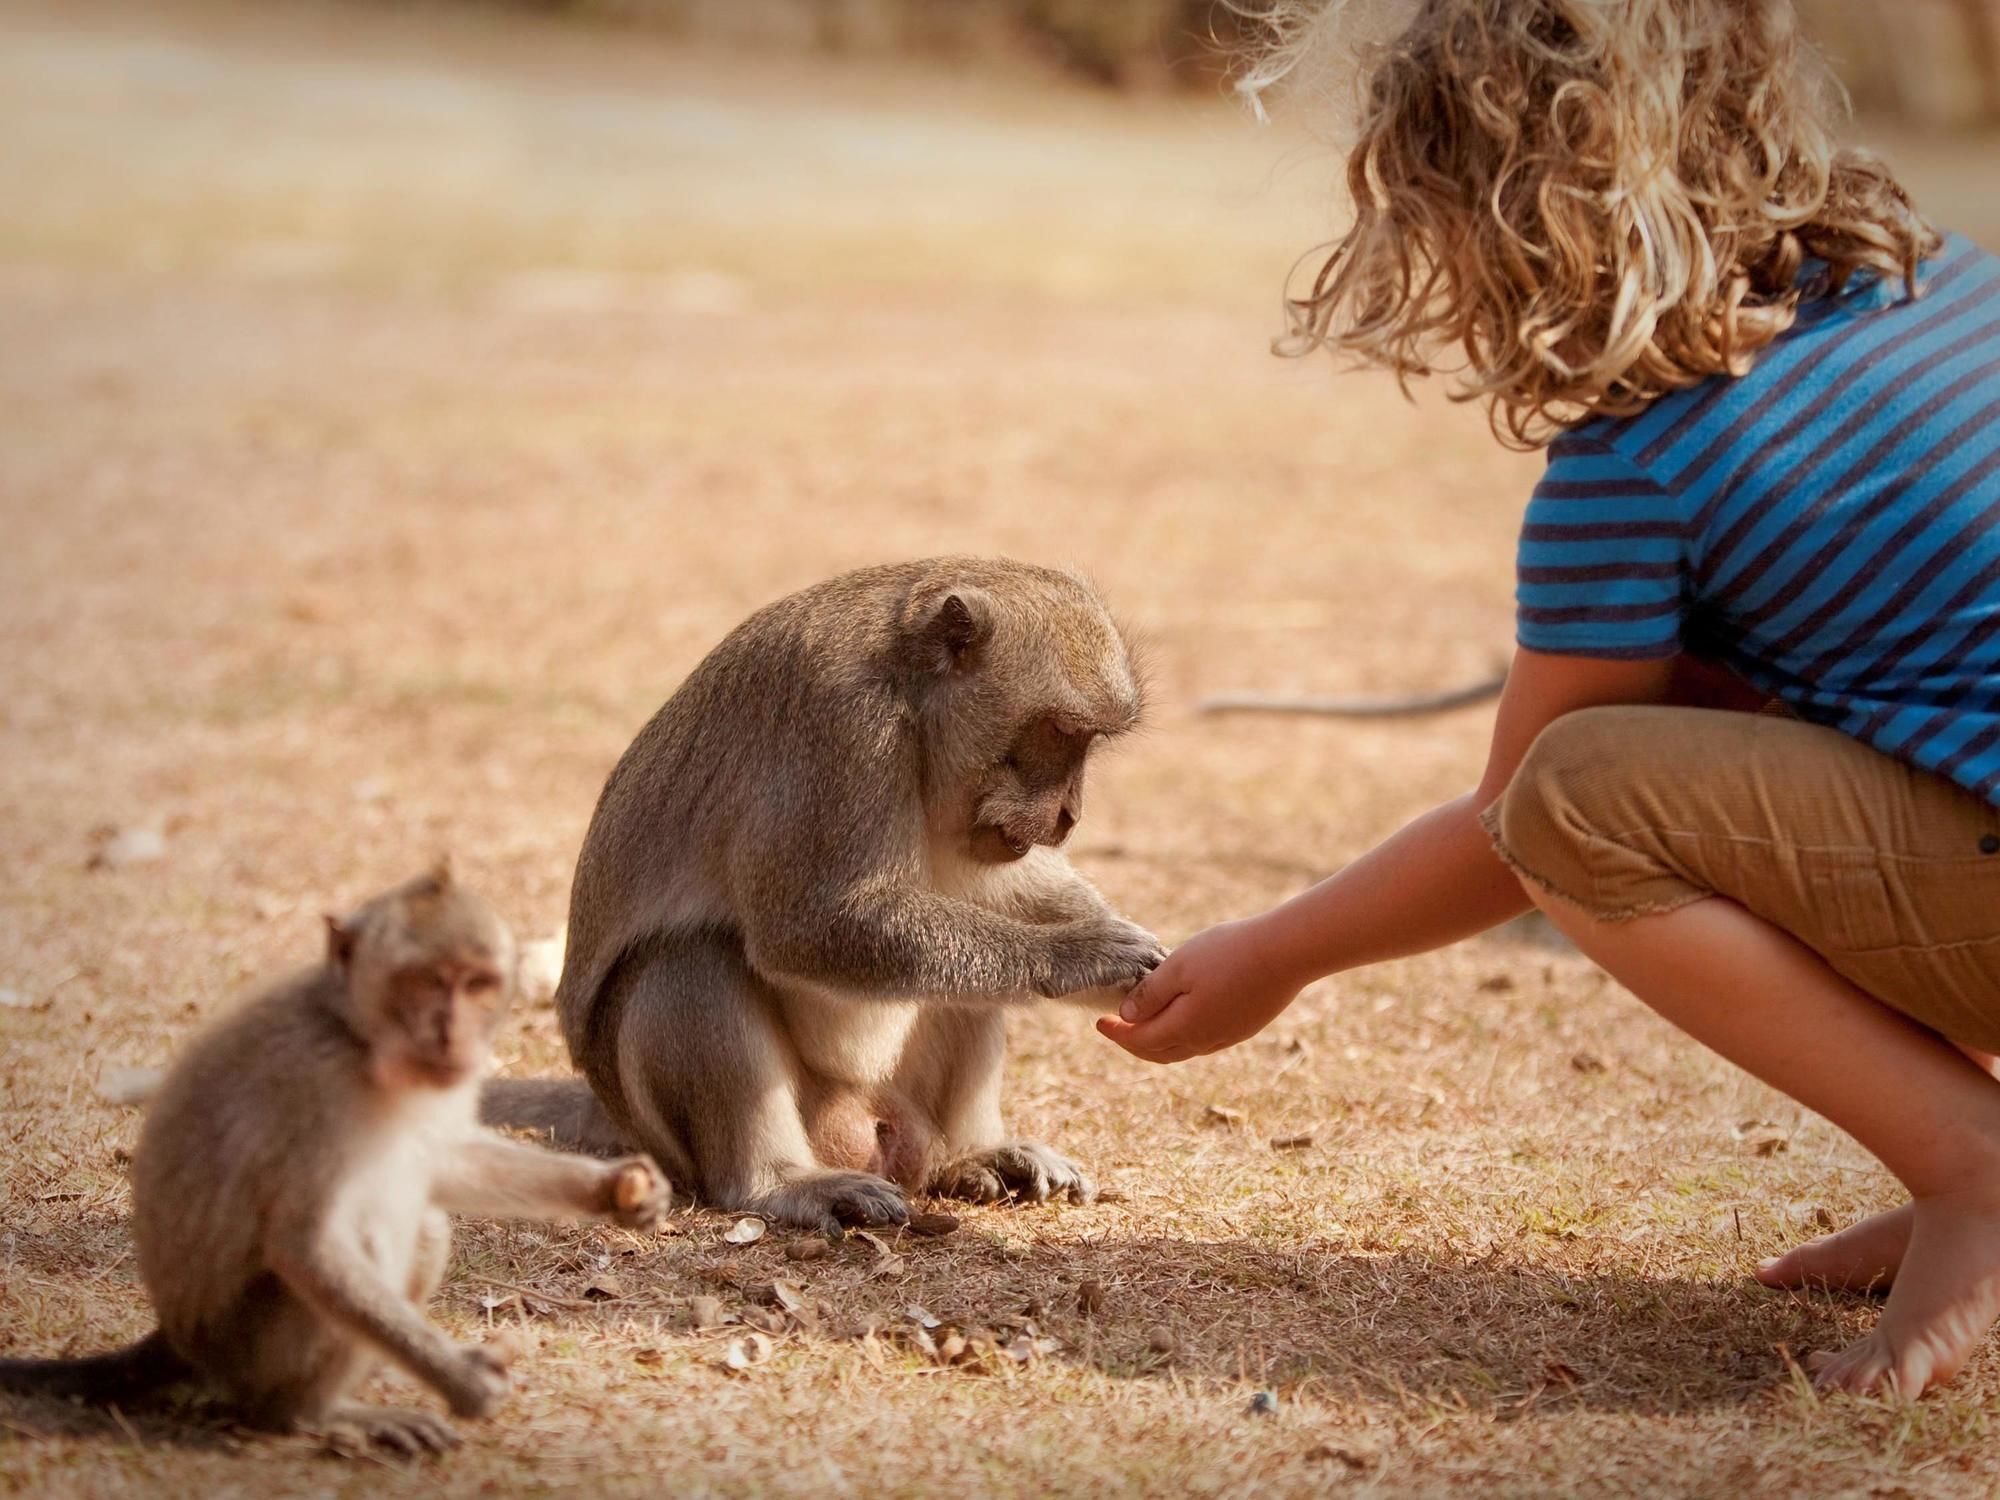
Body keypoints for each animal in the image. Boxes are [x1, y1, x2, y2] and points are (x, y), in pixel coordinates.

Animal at [0, 864, 672, 1464]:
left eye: (477, 983)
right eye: (425, 981)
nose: (451, 1034)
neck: (358, 1039)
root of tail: (176, 1338)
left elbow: (445, 1161)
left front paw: (613, 1189)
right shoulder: (314, 1088)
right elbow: (306, 1246)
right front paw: (462, 1382)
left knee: (424, 1224)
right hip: (246, 1348)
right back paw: (307, 1416)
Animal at [484, 560, 1168, 1232]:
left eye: (1086, 741)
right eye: (1058, 733)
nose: (1069, 816)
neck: (913, 705)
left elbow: (1011, 884)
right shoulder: (844, 731)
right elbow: (808, 926)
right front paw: (1078, 955)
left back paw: (971, 1154)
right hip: (702, 1128)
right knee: (689, 960)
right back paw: (777, 1183)